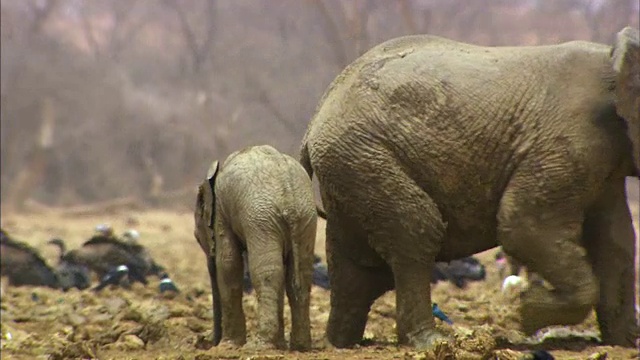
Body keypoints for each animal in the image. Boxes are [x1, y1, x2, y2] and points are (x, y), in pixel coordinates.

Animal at [192, 145, 318, 350]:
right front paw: (279, 345)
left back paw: (259, 346)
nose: (205, 342)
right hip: (306, 219)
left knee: (267, 273)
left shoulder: (222, 213)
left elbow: (228, 264)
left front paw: (228, 346)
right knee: (300, 275)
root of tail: (289, 198)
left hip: (261, 220)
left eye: (197, 237)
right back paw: (300, 347)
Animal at [300, 26, 640, 350]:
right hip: (364, 156)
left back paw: (341, 343)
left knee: (355, 266)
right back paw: (431, 342)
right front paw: (525, 314)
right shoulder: (567, 142)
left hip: (350, 164)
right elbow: (524, 227)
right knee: (417, 232)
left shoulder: (606, 160)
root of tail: (318, 114)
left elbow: (616, 241)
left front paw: (624, 343)